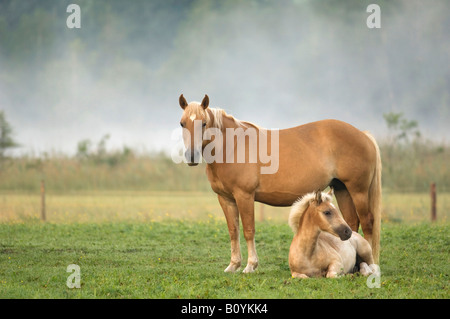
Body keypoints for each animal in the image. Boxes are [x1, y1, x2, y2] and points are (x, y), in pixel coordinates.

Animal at [178, 94, 382, 274]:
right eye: (182, 123)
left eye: (204, 123)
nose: (191, 156)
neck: (232, 147)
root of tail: (363, 135)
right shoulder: (225, 199)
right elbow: (233, 231)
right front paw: (233, 265)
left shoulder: (245, 196)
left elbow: (248, 230)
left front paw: (250, 266)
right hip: (342, 189)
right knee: (352, 222)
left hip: (358, 191)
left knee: (367, 223)